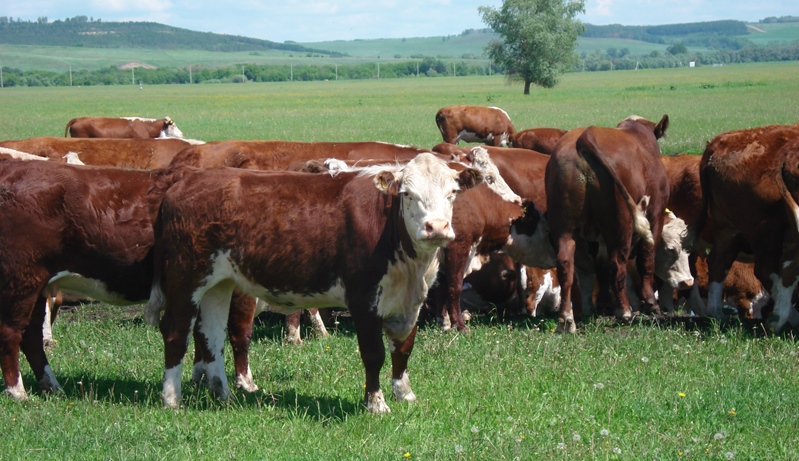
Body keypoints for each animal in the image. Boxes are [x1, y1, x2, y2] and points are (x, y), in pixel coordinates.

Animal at [143, 153, 482, 412]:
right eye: (407, 194)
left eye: (452, 193)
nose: (436, 227)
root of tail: (187, 181)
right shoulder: (363, 298)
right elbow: (374, 354)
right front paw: (376, 404)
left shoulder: (410, 301)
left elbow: (404, 349)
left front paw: (405, 394)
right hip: (186, 277)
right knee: (175, 333)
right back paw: (171, 399)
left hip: (219, 282)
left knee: (211, 335)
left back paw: (222, 394)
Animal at [544, 115, 668, 330]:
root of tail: (585, 136)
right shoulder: (655, 217)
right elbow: (646, 259)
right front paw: (651, 303)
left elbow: (600, 270)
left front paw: (603, 306)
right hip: (622, 226)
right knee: (617, 265)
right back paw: (624, 311)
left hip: (564, 228)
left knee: (565, 264)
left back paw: (566, 318)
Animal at [692, 124, 799, 328]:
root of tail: (721, 141)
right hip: (766, 228)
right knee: (768, 269)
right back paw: (784, 318)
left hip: (730, 228)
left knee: (719, 262)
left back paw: (717, 313)